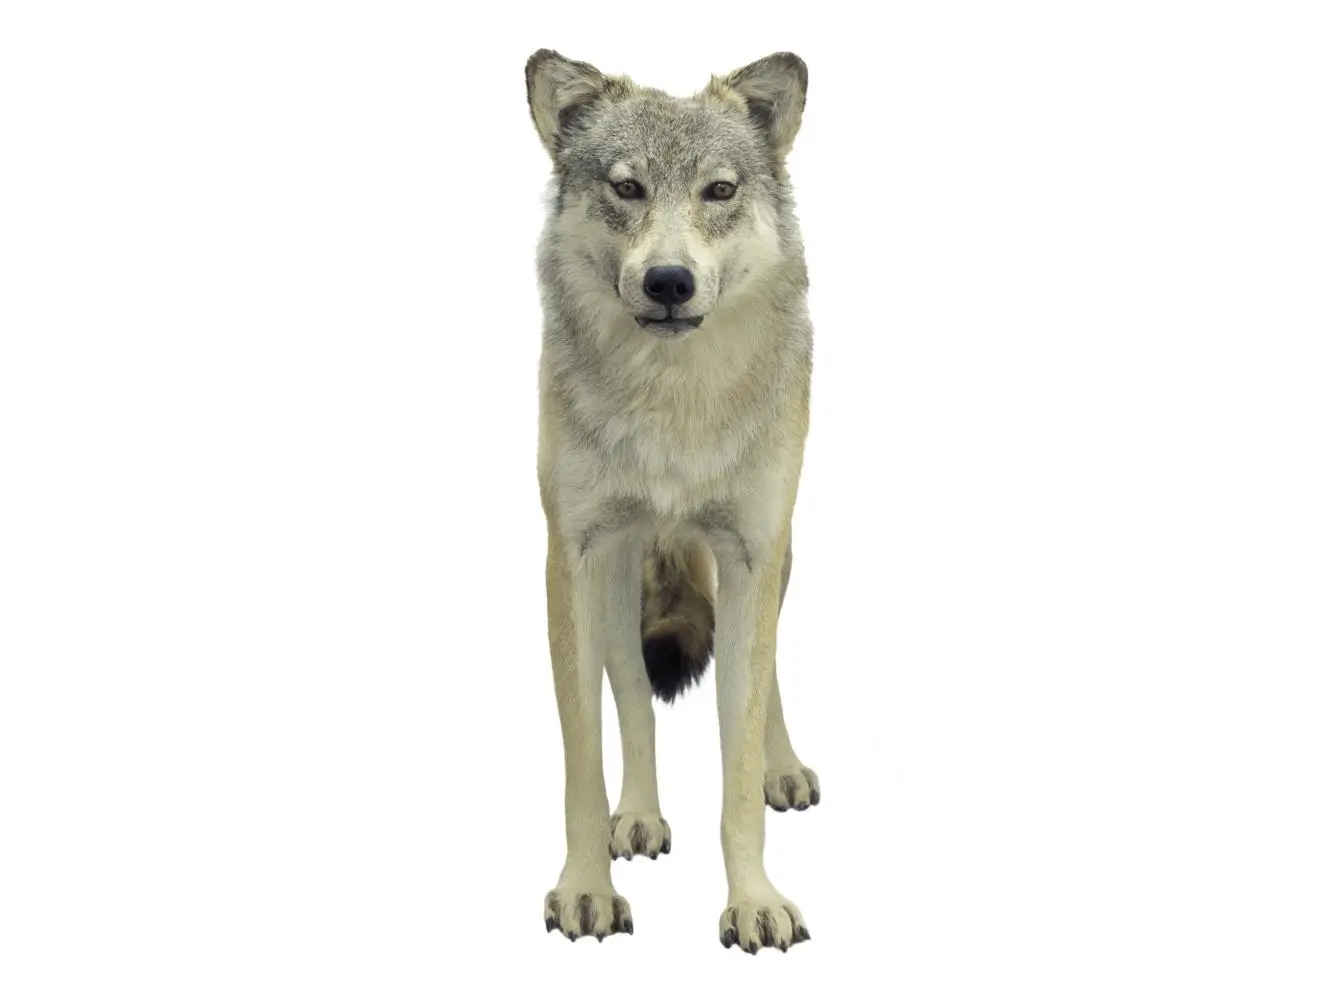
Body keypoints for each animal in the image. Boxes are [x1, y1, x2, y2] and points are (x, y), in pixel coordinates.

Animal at [525, 48, 821, 953]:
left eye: (717, 191)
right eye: (626, 188)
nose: (666, 281)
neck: (672, 407)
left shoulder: (751, 553)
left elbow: (737, 760)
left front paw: (754, 900)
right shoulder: (573, 559)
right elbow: (584, 759)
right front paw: (587, 887)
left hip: (770, 562)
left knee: (767, 673)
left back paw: (785, 770)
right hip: (621, 574)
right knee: (633, 700)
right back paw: (640, 817)